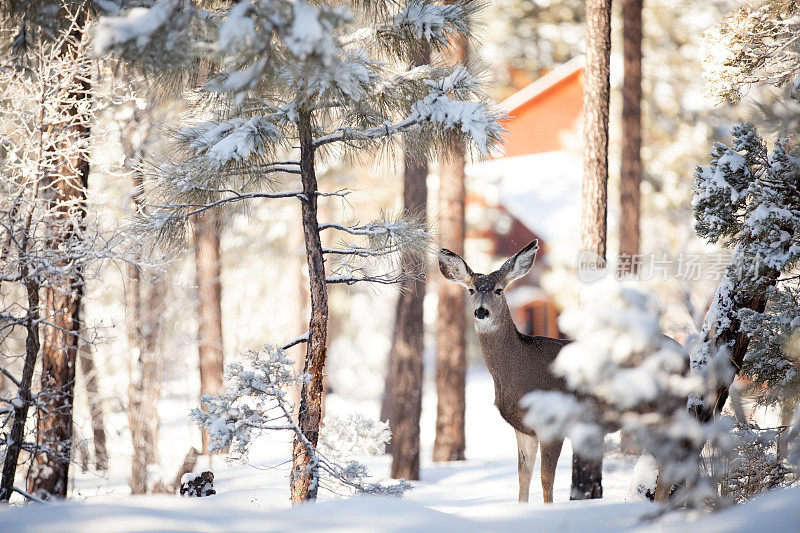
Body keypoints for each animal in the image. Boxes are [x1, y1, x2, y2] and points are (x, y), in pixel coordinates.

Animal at [440, 241, 572, 502]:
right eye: (471, 290)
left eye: (499, 290)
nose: (481, 312)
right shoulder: (523, 427)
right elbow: (523, 478)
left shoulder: (554, 421)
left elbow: (546, 480)